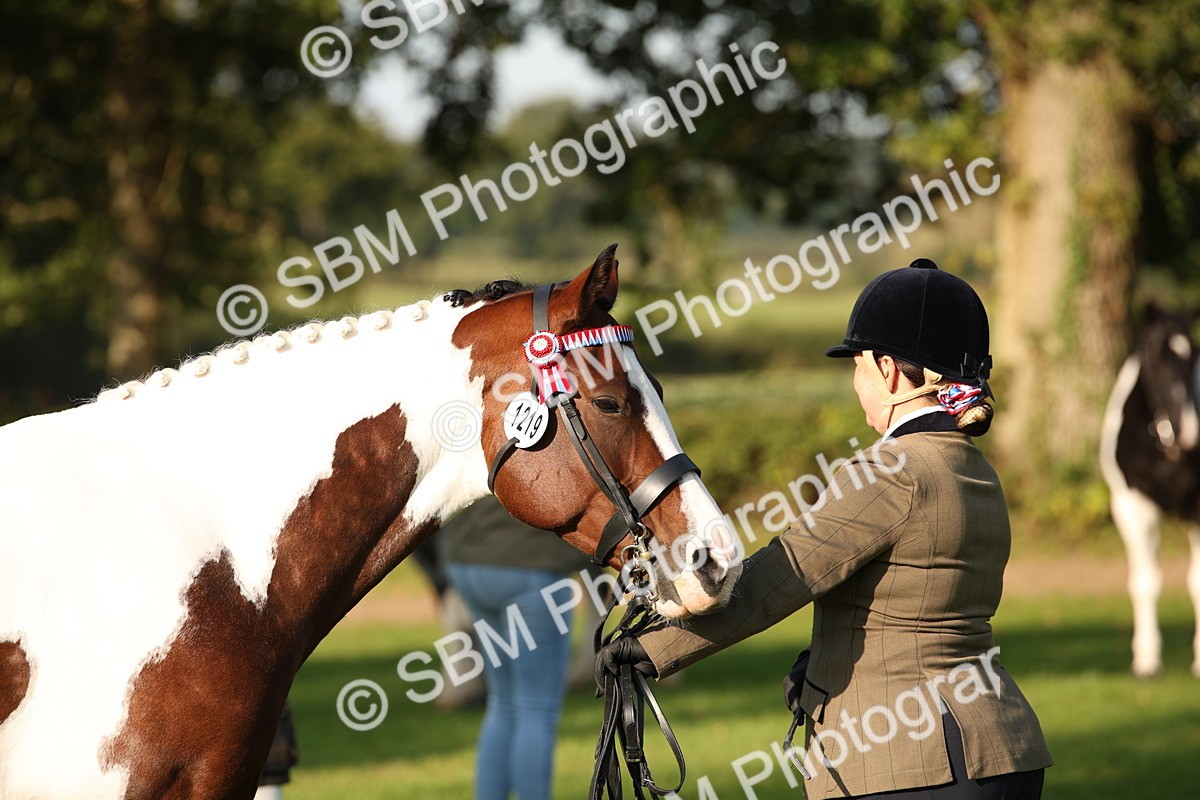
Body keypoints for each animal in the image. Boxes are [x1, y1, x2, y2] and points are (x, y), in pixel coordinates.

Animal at [1099, 304, 1200, 678]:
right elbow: (1146, 581)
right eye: (1155, 361)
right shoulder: (1132, 506)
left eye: (1193, 357)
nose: (1189, 432)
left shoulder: (1196, 507)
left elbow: (1196, 581)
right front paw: (1147, 658)